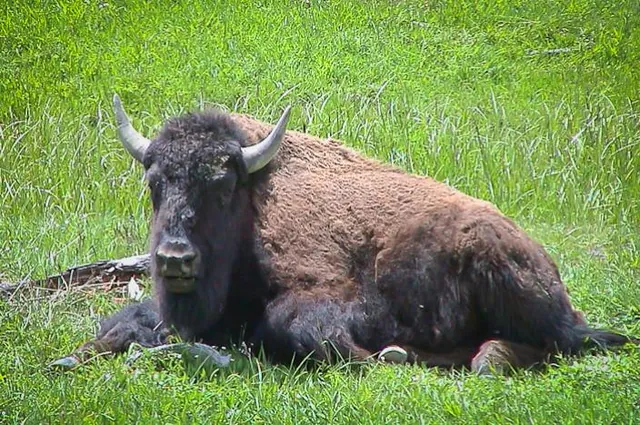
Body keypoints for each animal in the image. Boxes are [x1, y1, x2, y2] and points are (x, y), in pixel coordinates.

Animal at [74, 93, 637, 374]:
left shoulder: (330, 293)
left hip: (508, 281)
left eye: (223, 184)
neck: (257, 200)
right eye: (154, 184)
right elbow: (123, 320)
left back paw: (462, 359)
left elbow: (293, 326)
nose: (175, 259)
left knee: (557, 343)